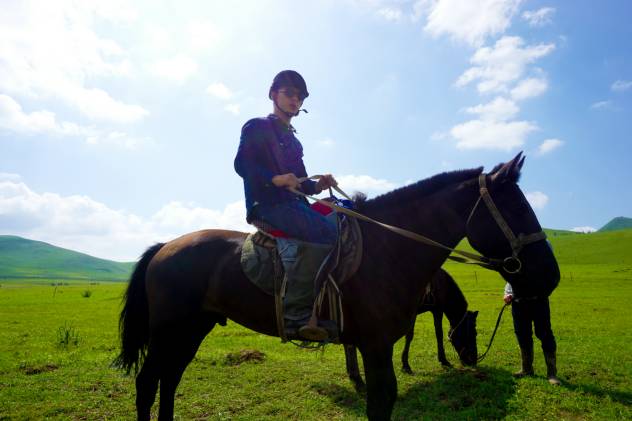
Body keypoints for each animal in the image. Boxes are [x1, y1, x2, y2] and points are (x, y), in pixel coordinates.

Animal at [113, 153, 556, 418]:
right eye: (518, 207)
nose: (550, 274)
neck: (389, 247)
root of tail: (165, 247)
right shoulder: (376, 346)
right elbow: (380, 402)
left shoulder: (377, 343)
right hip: (168, 331)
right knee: (148, 382)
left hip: (191, 330)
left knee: (169, 379)